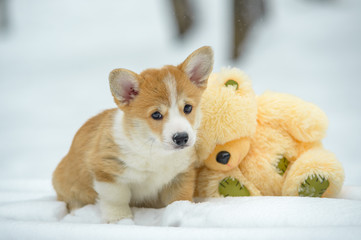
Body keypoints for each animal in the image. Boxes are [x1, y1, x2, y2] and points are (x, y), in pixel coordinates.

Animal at [52, 46, 212, 222]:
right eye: (156, 115)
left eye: (188, 108)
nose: (182, 138)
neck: (156, 152)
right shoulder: (107, 171)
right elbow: (116, 198)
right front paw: (120, 220)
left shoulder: (180, 175)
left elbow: (179, 198)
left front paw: (181, 209)